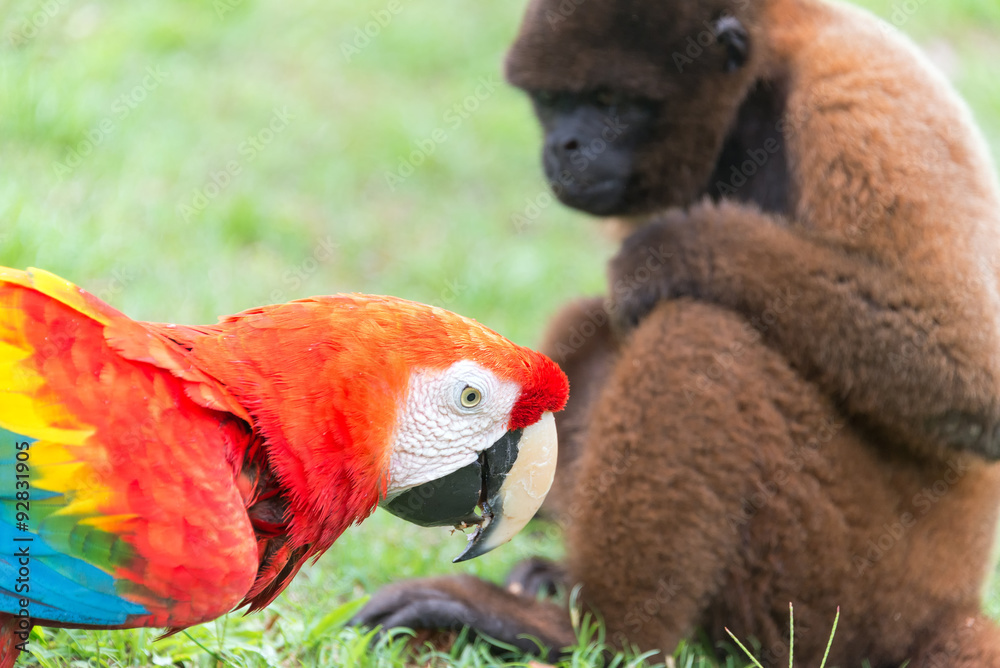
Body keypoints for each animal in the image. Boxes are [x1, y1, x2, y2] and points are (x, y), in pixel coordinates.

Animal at [351, 0, 1000, 665]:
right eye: (552, 102)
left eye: (609, 101)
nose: (564, 145)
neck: (760, 80)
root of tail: (941, 610)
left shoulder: (856, 97)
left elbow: (972, 372)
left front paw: (675, 249)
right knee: (598, 323)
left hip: (845, 588)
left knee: (697, 332)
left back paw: (587, 633)